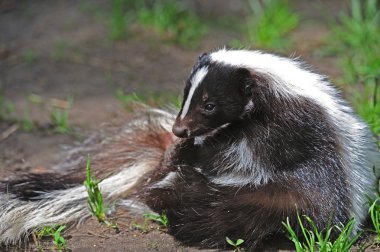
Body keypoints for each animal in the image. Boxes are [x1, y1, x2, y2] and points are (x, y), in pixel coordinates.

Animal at [0, 48, 380, 249]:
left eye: (210, 104)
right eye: (187, 97)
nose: (179, 130)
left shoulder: (289, 132)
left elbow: (246, 156)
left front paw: (202, 151)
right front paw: (193, 150)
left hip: (275, 203)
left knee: (221, 213)